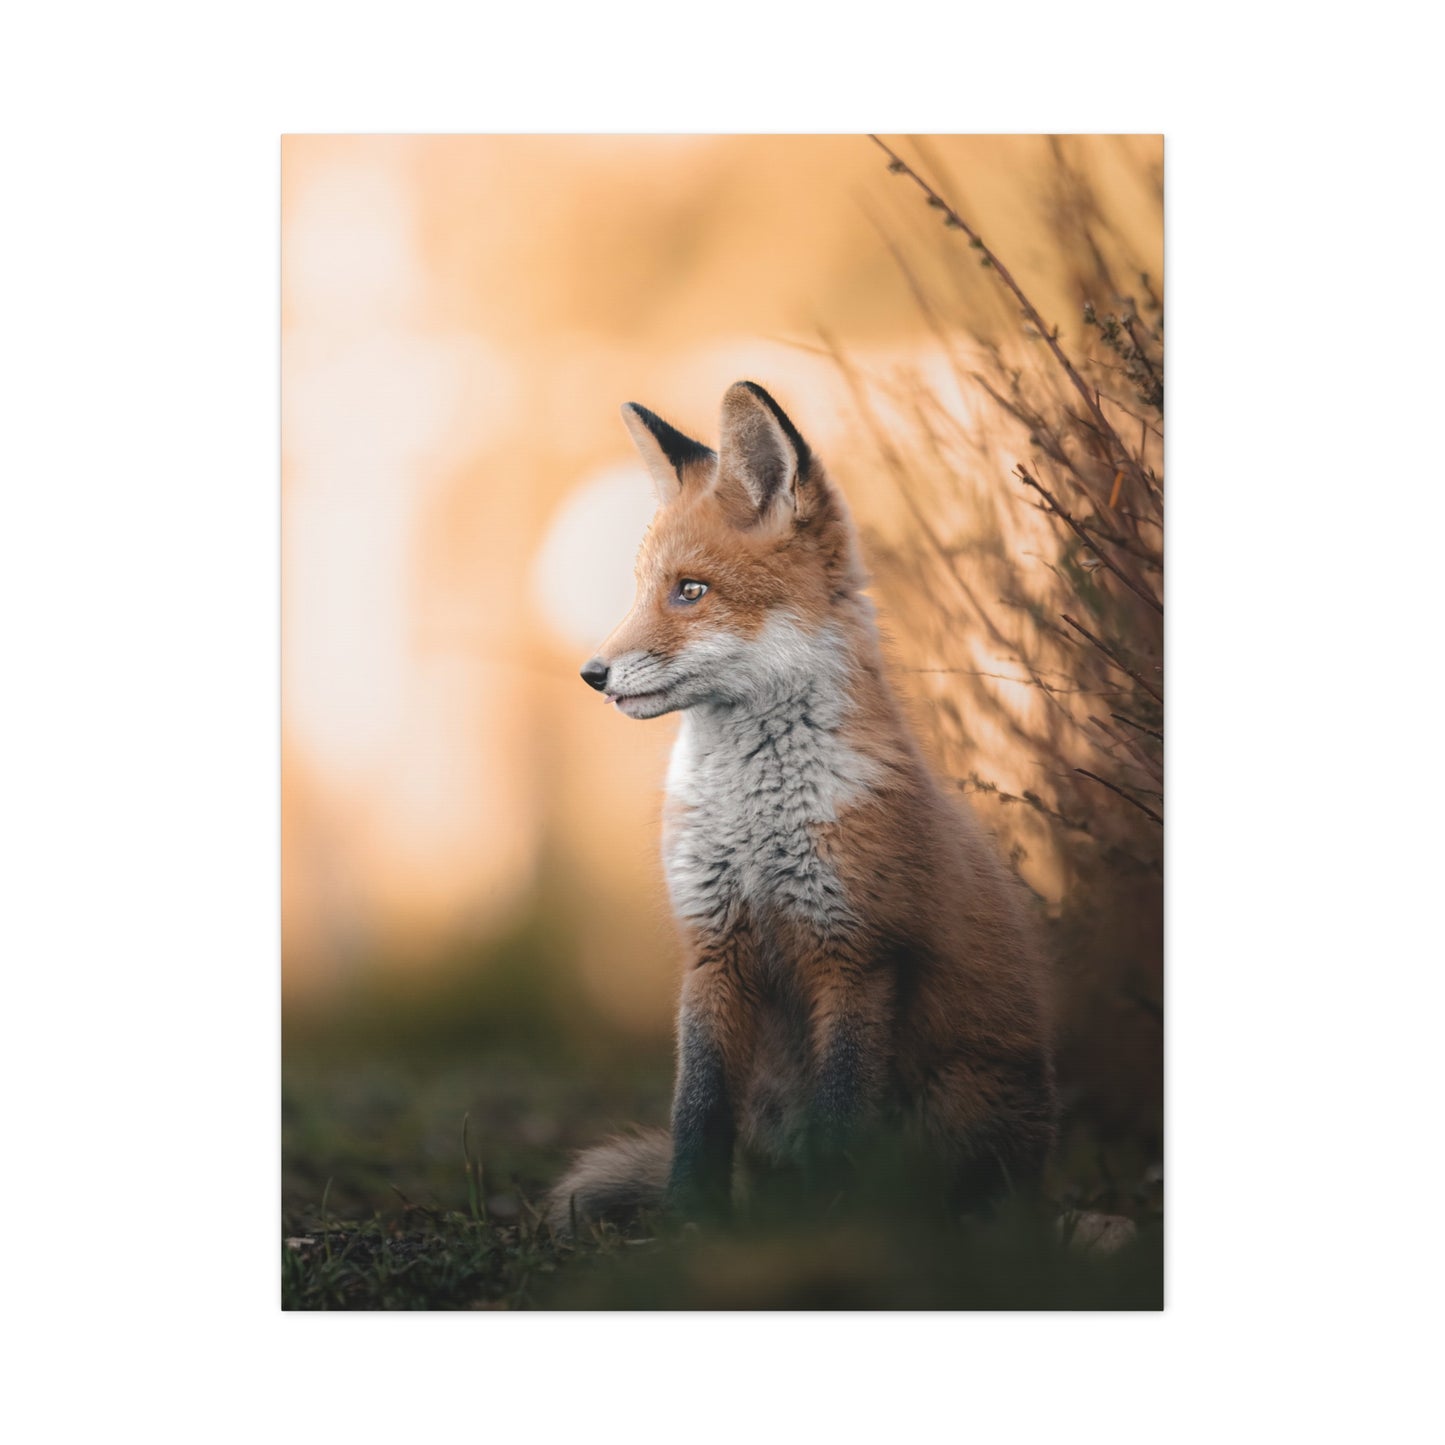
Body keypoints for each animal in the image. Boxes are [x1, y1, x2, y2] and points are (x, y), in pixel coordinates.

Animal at [547, 380, 1057, 1233]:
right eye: (642, 587)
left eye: (690, 590)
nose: (592, 674)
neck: (755, 821)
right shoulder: (711, 946)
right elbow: (696, 1110)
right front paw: (691, 1223)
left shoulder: (854, 951)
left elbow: (840, 1114)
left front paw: (829, 1222)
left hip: (961, 1102)